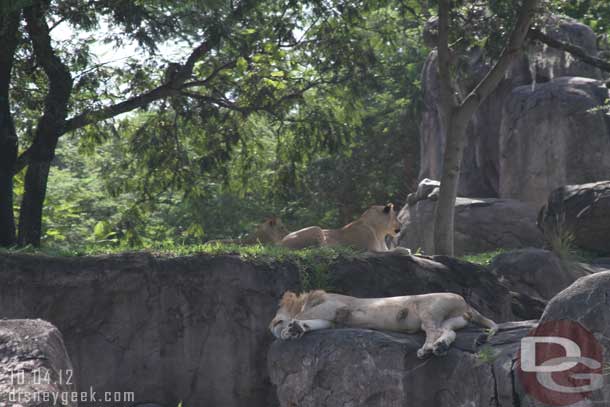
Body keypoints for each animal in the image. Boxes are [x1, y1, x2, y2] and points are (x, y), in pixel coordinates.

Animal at [268, 290, 496, 360]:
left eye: (277, 319)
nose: (272, 329)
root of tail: (467, 303)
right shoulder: (332, 319)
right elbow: (313, 323)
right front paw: (295, 329)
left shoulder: (334, 306)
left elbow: (308, 315)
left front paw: (289, 329)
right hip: (450, 320)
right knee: (447, 332)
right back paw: (440, 347)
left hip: (427, 308)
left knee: (434, 331)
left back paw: (427, 349)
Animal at [278, 202, 406, 253]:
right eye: (396, 216)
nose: (401, 224)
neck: (380, 233)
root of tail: (281, 243)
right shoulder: (368, 250)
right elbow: (394, 251)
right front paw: (404, 250)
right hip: (316, 228)